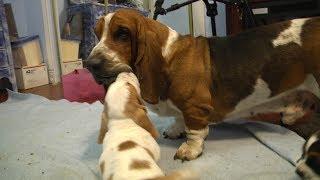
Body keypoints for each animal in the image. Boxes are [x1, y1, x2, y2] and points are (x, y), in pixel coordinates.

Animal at [87, 8, 320, 160]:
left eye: (122, 33)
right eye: (96, 34)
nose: (90, 65)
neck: (170, 56)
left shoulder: (194, 107)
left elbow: (194, 131)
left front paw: (189, 150)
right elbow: (178, 118)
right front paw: (174, 130)